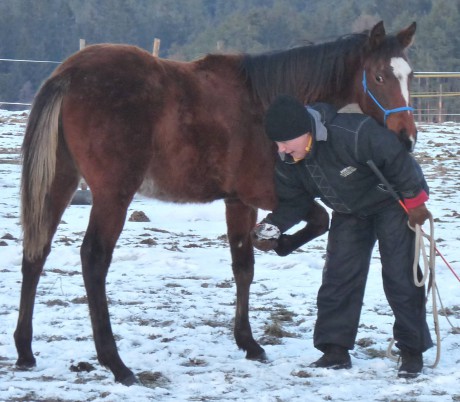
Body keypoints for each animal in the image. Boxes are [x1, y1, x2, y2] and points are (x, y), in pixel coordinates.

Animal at [14, 20, 416, 384]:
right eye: (379, 77)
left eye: (409, 75)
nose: (406, 137)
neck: (270, 105)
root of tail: (70, 72)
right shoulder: (264, 193)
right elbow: (317, 221)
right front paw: (278, 244)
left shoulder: (238, 202)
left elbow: (243, 267)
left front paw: (248, 342)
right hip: (113, 194)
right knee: (93, 259)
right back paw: (116, 364)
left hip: (59, 182)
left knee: (36, 251)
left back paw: (25, 351)